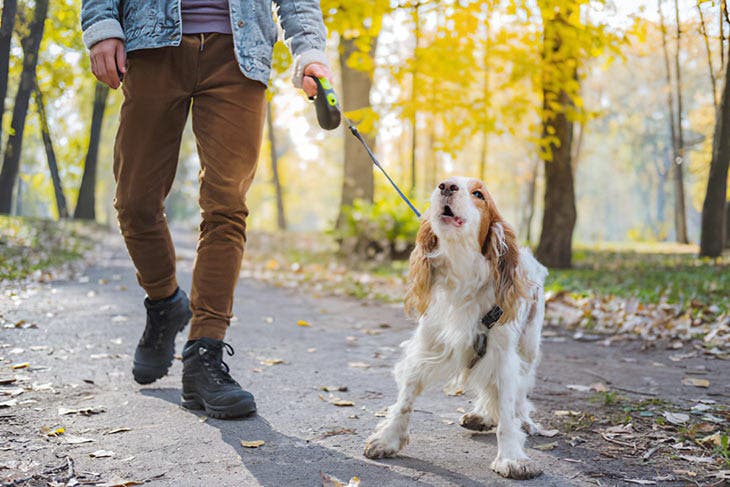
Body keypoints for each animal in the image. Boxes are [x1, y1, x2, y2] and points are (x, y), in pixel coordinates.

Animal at [362, 176, 544, 480]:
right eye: (444, 183)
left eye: (479, 194)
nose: (446, 186)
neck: (463, 272)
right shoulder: (426, 346)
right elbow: (405, 400)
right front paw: (388, 439)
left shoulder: (504, 355)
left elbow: (507, 410)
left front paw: (511, 457)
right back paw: (481, 415)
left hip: (528, 347)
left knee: (520, 392)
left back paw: (523, 420)